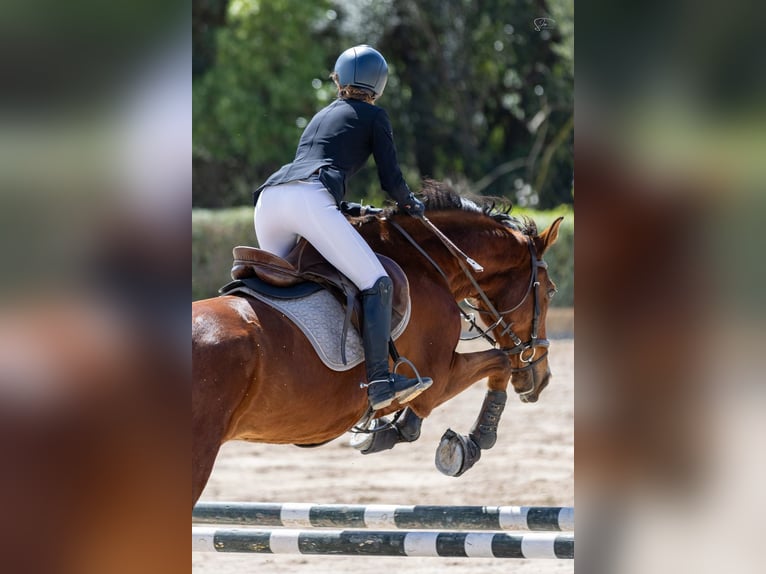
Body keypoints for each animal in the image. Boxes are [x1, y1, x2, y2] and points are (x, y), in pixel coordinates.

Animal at [192, 183, 563, 505]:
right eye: (550, 290)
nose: (542, 379)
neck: (425, 264)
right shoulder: (439, 376)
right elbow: (498, 361)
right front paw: (472, 443)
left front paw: (390, 431)